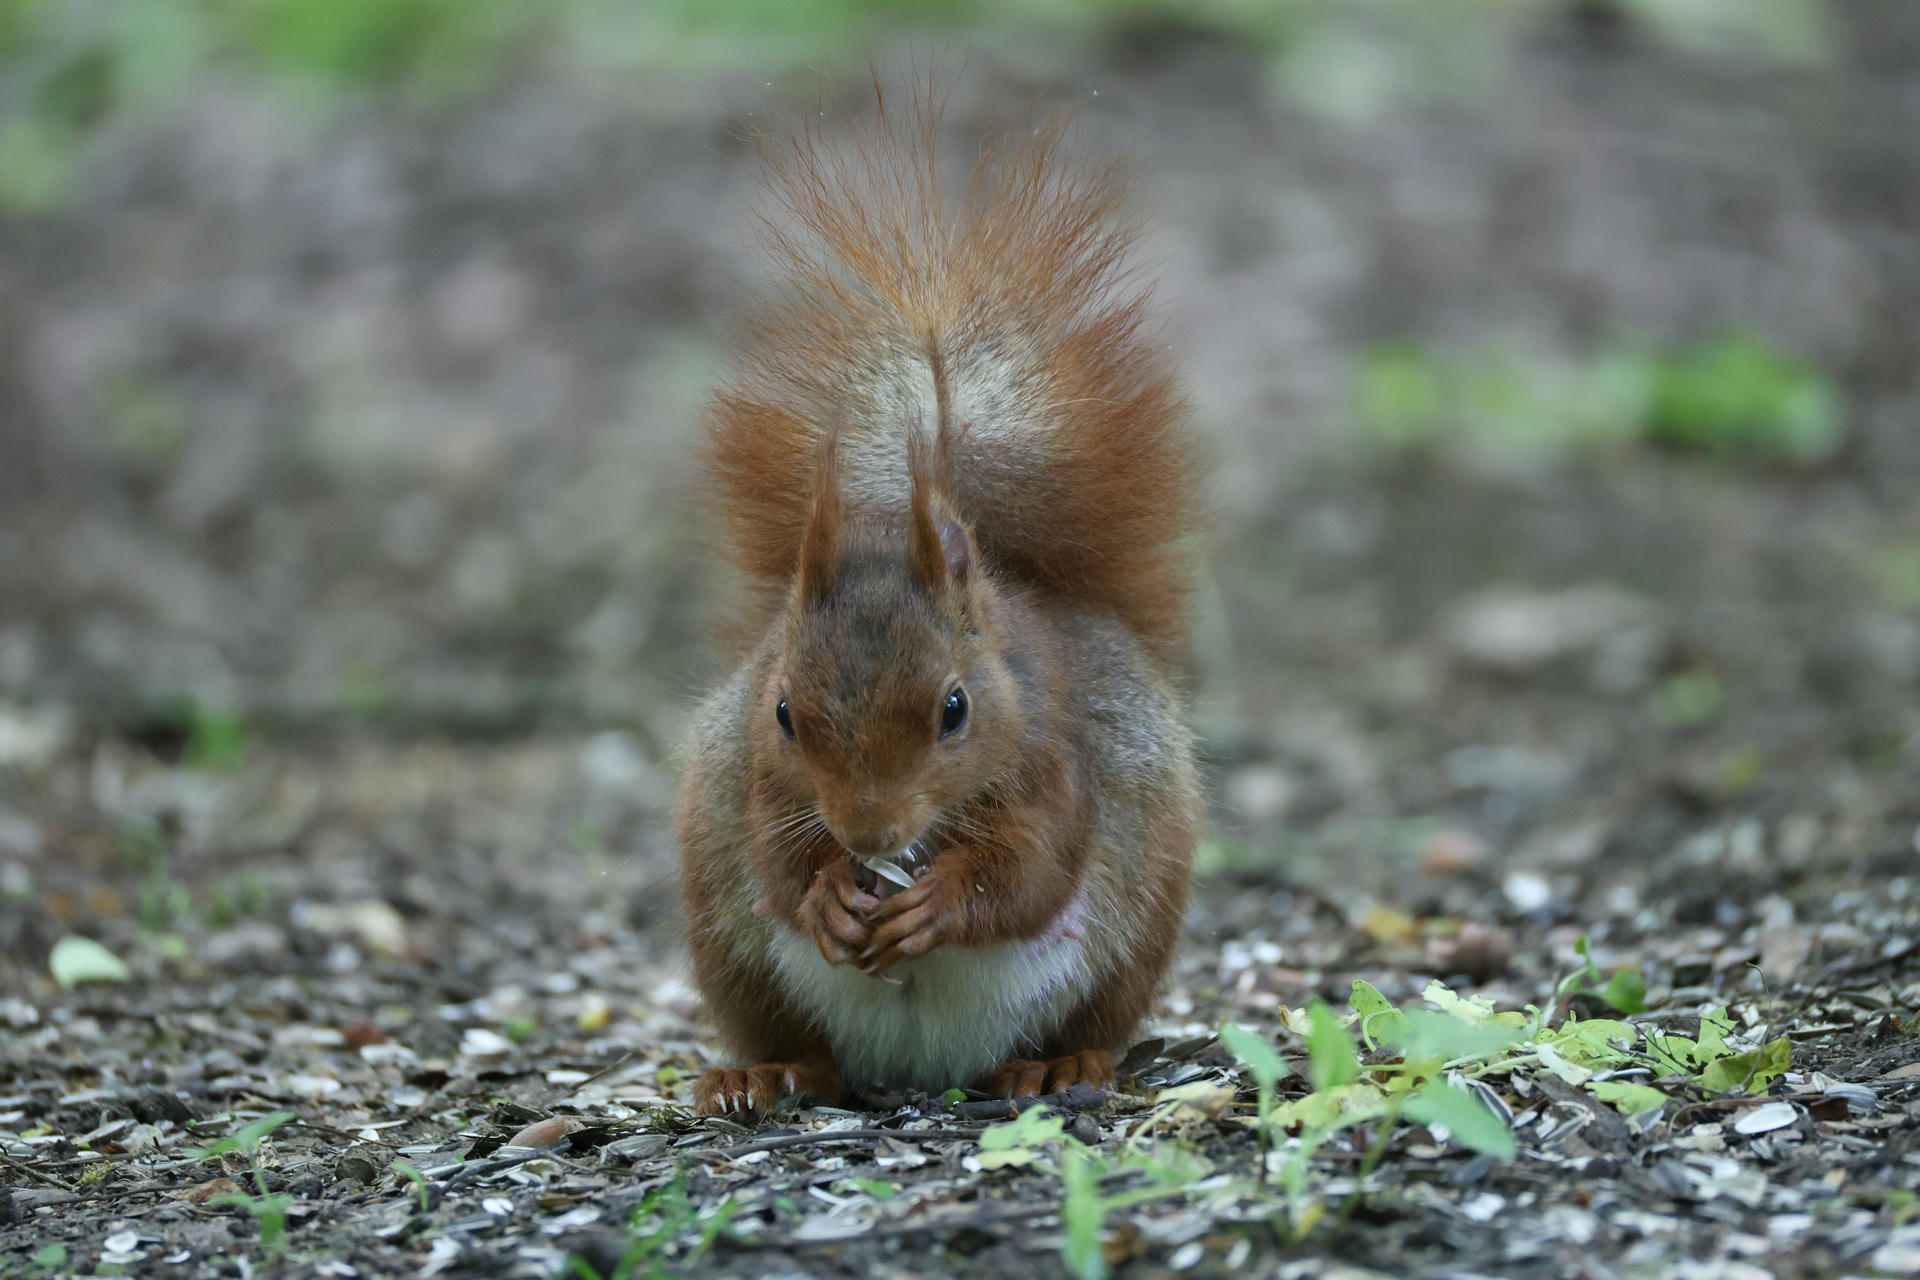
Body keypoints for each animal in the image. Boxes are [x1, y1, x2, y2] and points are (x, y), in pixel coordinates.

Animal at [676, 79, 1204, 1118]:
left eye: (955, 709)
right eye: (785, 713)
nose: (867, 834)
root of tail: (921, 1072)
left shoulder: (1054, 762)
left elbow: (1030, 872)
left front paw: (937, 903)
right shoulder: (762, 780)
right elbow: (779, 857)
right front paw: (829, 894)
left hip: (1139, 917)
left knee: (1089, 1015)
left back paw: (1058, 1065)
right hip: (727, 938)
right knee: (799, 1038)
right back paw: (768, 1070)